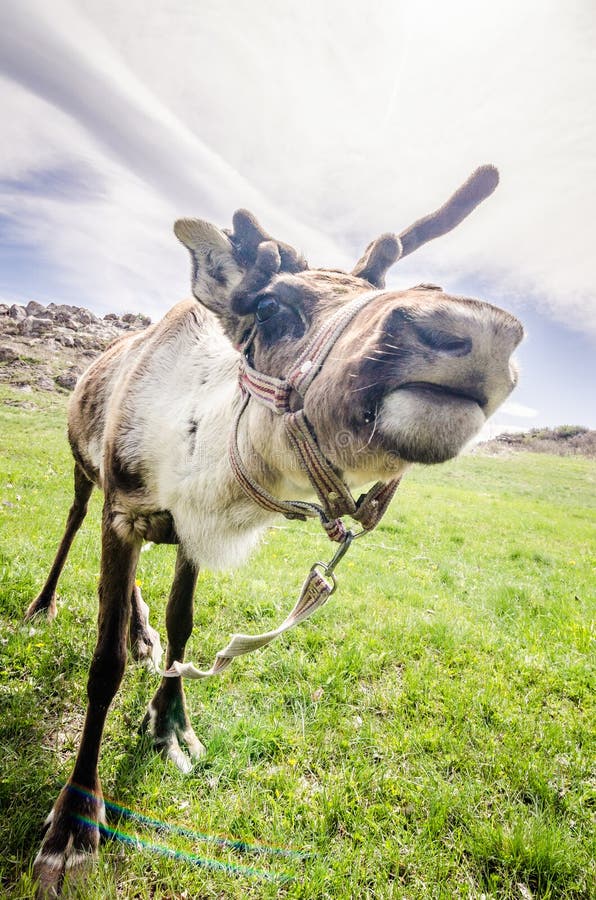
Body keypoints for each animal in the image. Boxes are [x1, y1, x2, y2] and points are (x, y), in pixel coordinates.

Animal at [27, 165, 524, 896]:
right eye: (269, 308)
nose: (473, 328)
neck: (206, 477)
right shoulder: (124, 511)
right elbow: (103, 664)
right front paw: (74, 822)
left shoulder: (187, 534)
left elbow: (182, 625)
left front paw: (169, 722)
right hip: (81, 471)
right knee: (70, 525)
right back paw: (44, 604)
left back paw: (140, 631)